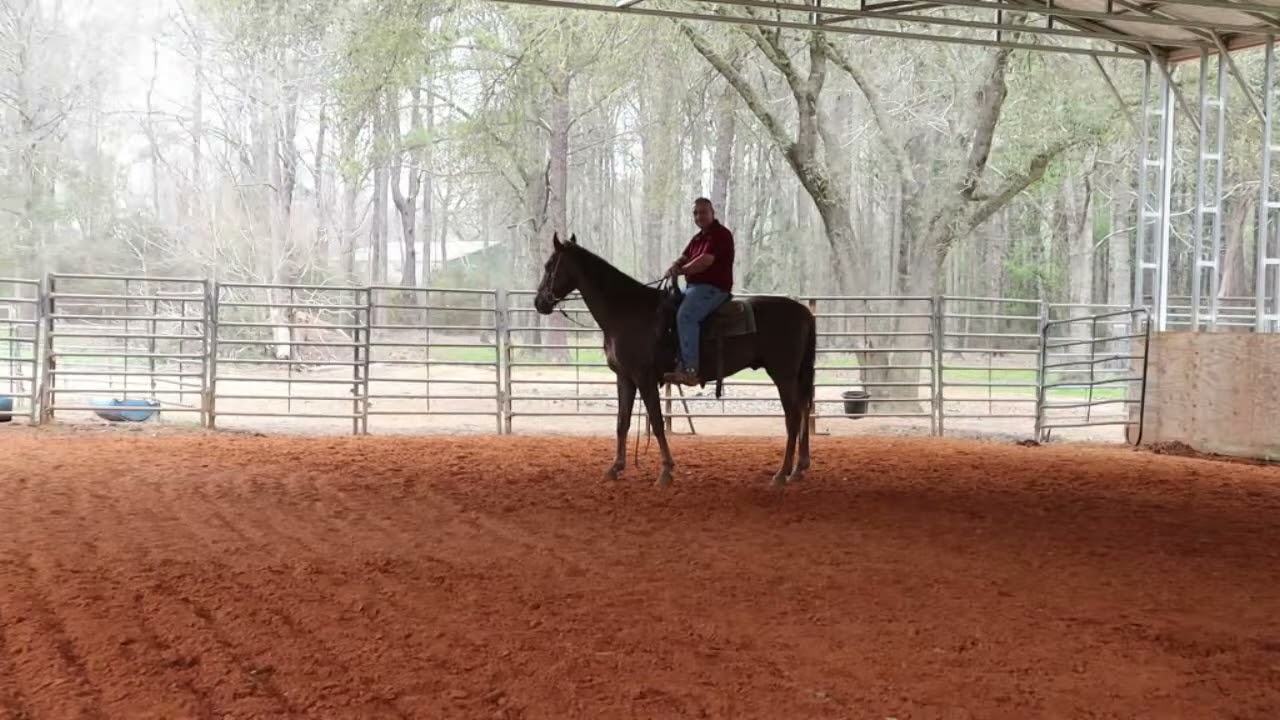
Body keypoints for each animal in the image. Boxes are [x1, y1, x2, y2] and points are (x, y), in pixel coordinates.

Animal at [533, 233, 817, 487]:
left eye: (549, 265)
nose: (539, 302)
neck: (627, 312)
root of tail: (804, 312)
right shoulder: (625, 378)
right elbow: (622, 423)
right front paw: (615, 468)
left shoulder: (644, 378)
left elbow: (658, 423)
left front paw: (666, 471)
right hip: (796, 376)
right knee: (804, 409)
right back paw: (798, 469)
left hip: (783, 375)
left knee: (792, 417)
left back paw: (781, 474)